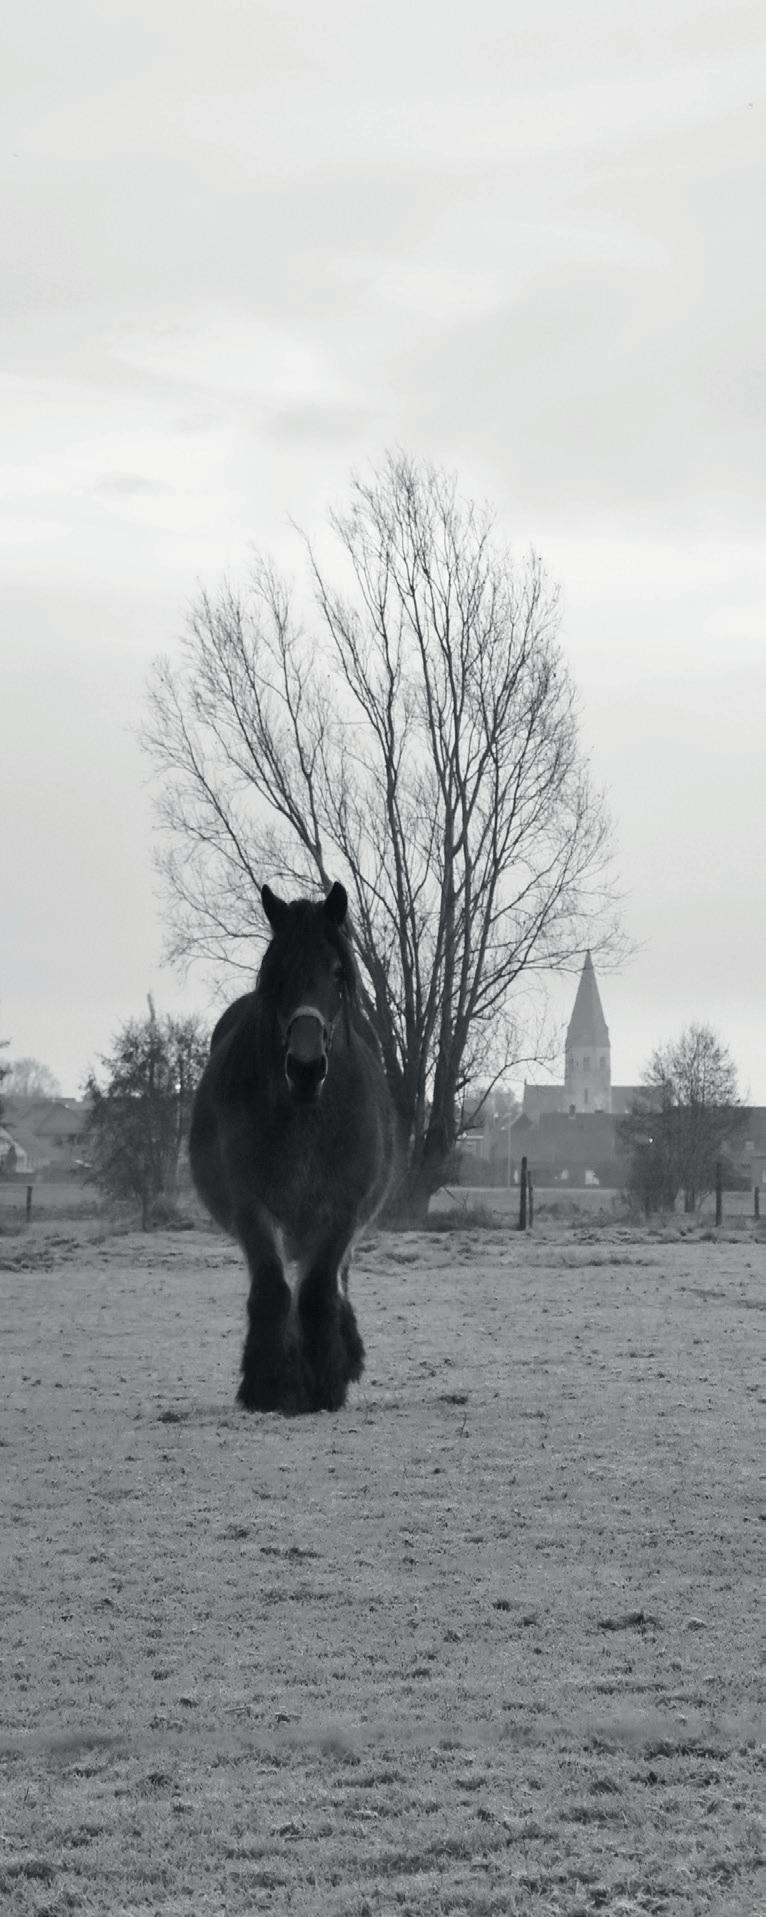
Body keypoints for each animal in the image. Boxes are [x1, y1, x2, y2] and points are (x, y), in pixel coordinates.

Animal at [189, 880, 397, 1413]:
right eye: (276, 972)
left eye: (337, 972)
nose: (305, 1067)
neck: (307, 1117)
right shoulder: (252, 1209)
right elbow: (272, 1290)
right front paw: (268, 1383)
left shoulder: (342, 1211)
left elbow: (319, 1291)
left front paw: (324, 1381)